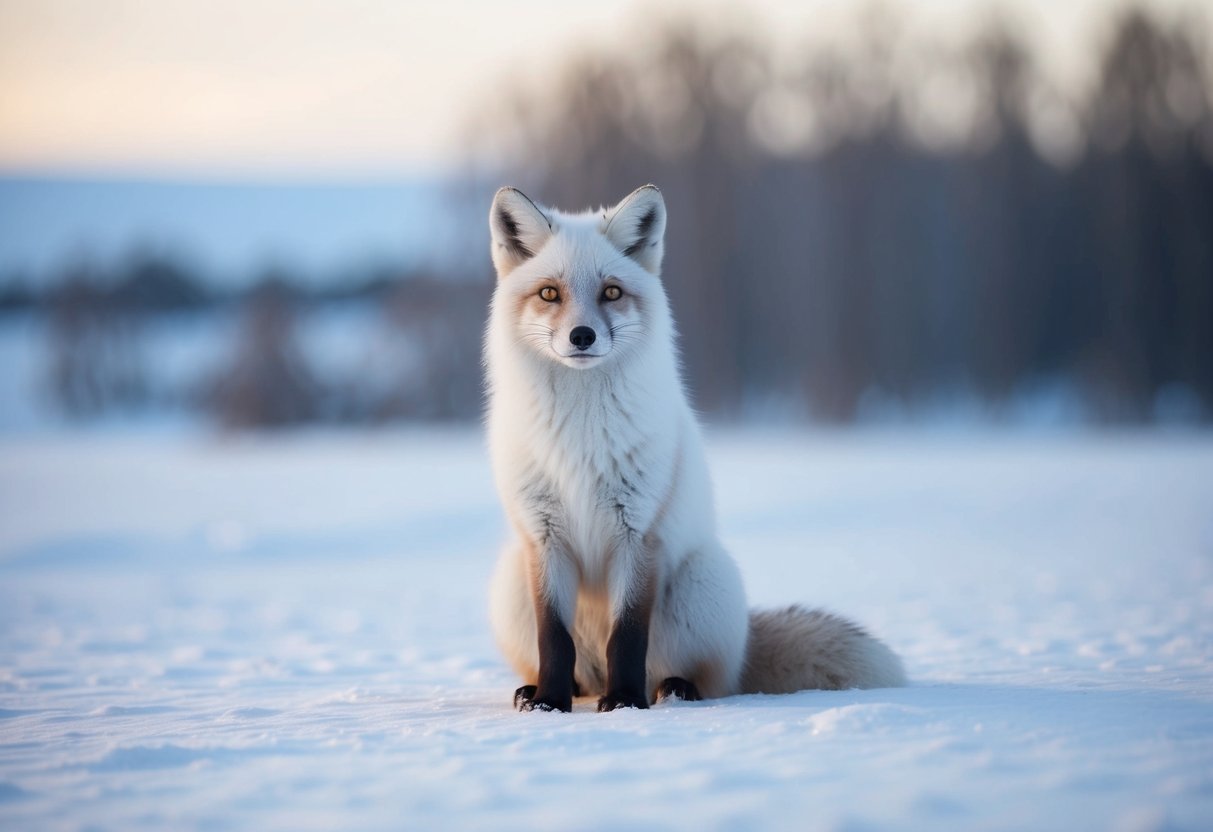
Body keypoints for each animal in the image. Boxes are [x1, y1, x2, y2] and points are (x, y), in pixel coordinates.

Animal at [485, 184, 905, 712]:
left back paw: (671, 690)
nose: (582, 336)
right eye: (549, 293)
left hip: (702, 580)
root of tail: (745, 645)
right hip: (511, 583)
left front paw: (624, 702)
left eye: (611, 292)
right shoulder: (543, 538)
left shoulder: (640, 534)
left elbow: (626, 636)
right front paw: (550, 703)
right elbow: (554, 640)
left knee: (703, 678)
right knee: (576, 664)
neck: (580, 436)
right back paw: (548, 690)